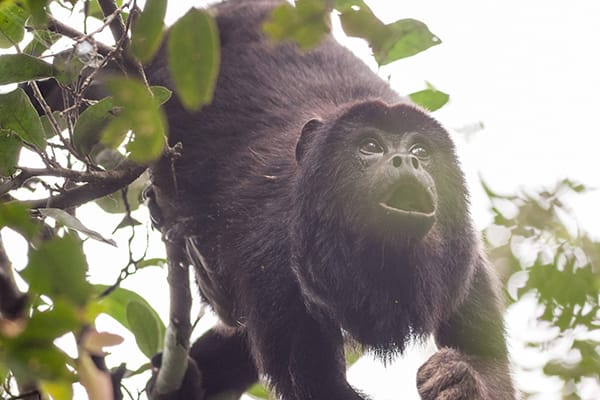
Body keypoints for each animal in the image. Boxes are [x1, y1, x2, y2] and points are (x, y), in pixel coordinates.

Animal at [143, 0, 512, 400]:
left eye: (420, 151)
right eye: (370, 147)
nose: (407, 160)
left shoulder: (465, 261)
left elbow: (491, 365)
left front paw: (459, 379)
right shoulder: (274, 255)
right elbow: (317, 384)